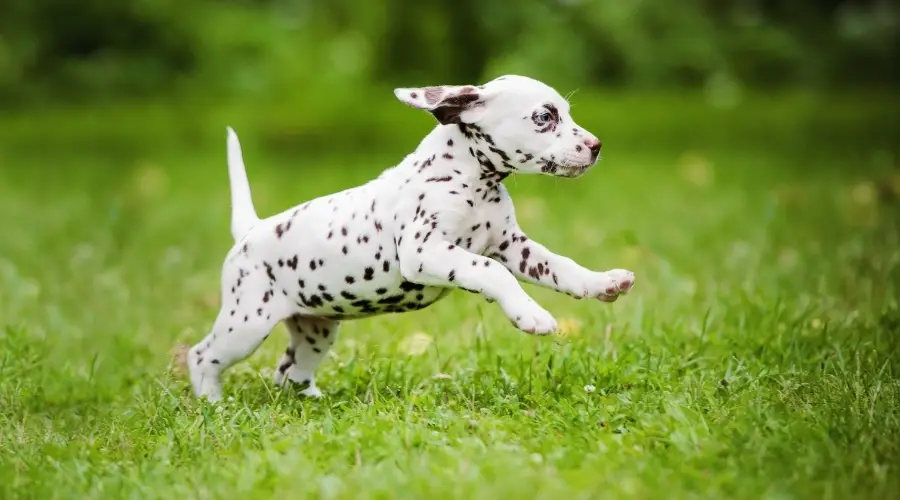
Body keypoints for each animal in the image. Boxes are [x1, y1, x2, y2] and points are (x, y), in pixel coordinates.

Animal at [186, 75, 636, 402]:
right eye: (544, 117)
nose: (596, 146)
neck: (471, 179)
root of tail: (251, 229)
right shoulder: (425, 252)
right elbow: (489, 271)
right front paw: (531, 315)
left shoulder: (513, 247)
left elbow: (561, 267)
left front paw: (603, 282)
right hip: (246, 323)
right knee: (201, 355)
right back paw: (211, 404)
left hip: (316, 330)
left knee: (289, 371)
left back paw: (310, 401)